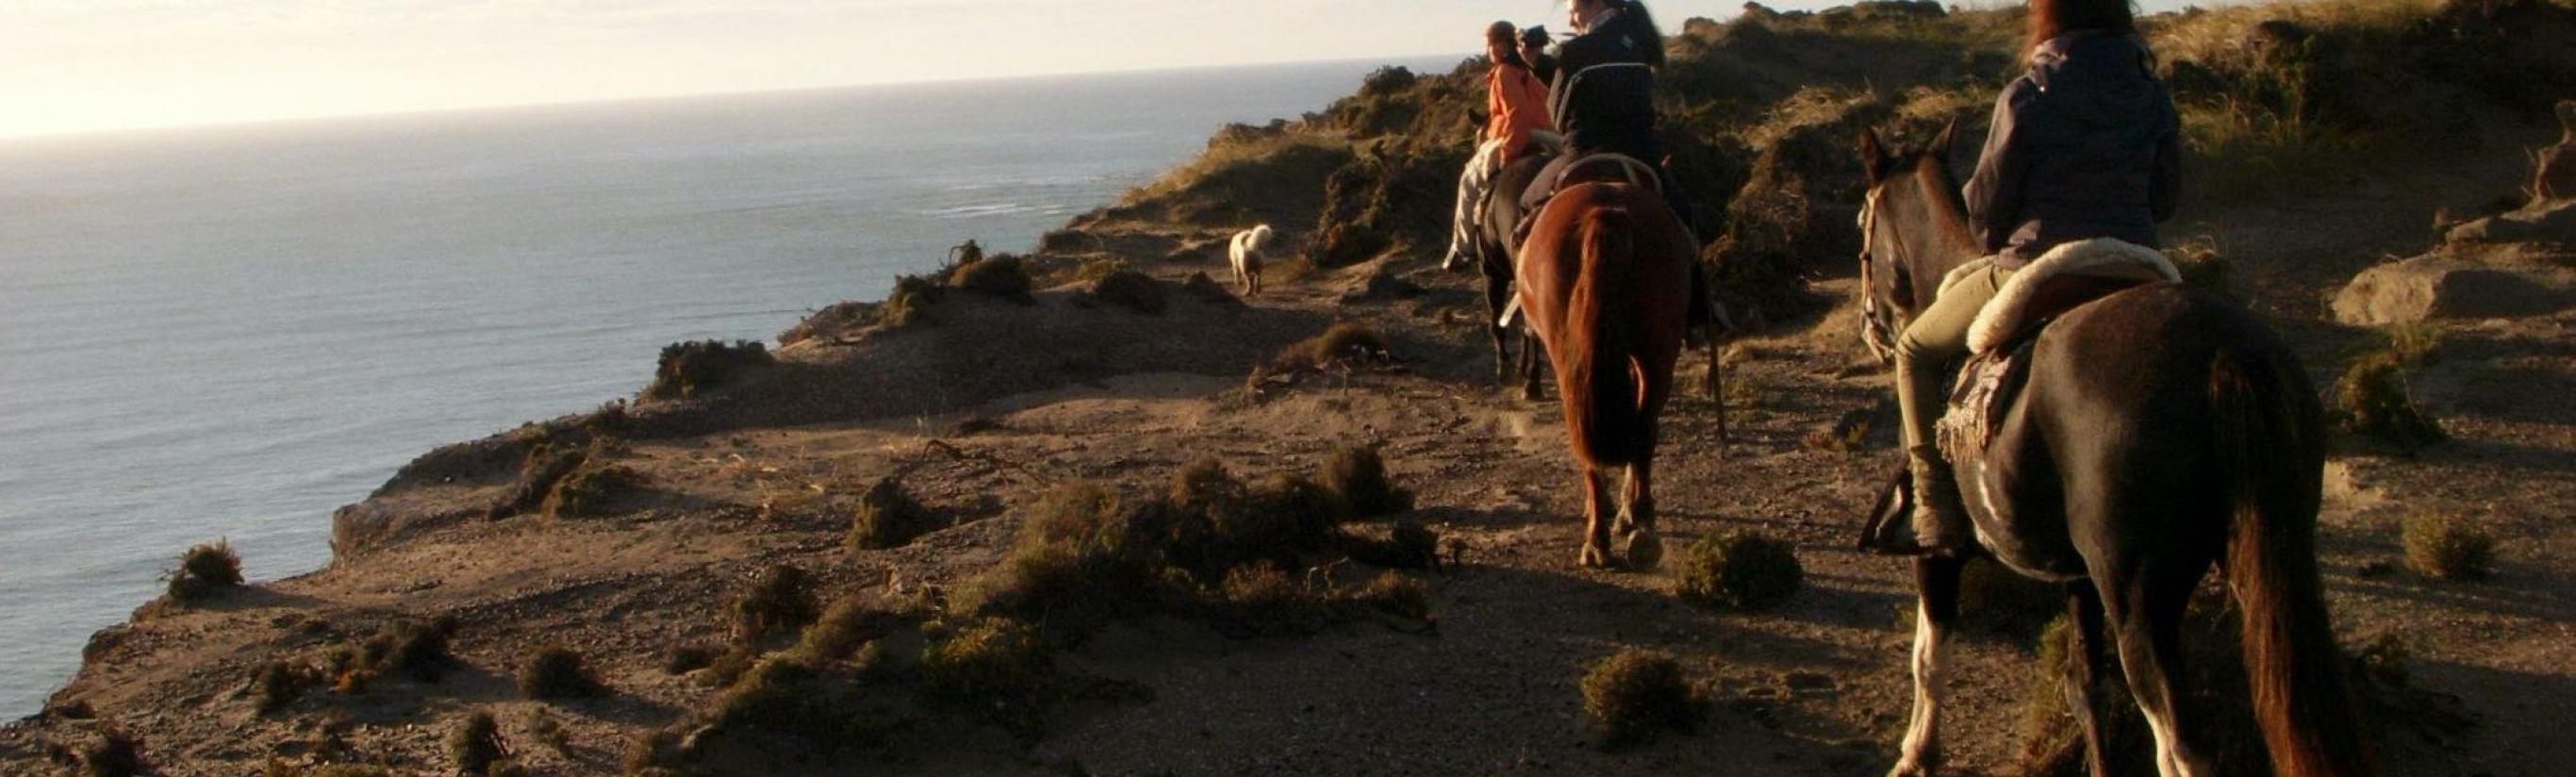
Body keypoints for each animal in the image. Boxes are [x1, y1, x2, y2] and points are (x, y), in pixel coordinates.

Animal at [1514, 163, 1700, 568]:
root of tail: (1605, 213)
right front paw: (1627, 512)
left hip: (1576, 357)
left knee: (1591, 437)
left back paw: (1604, 536)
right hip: (1655, 352)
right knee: (1641, 429)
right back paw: (1638, 527)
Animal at [1855, 129, 2370, 777]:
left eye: (1862, 224)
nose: (1871, 328)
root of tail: (2223, 352)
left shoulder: (1940, 554)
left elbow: (1929, 655)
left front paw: (1916, 755)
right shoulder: (2079, 575)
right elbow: (2085, 687)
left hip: (2139, 597)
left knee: (2179, 747)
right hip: (2261, 559)